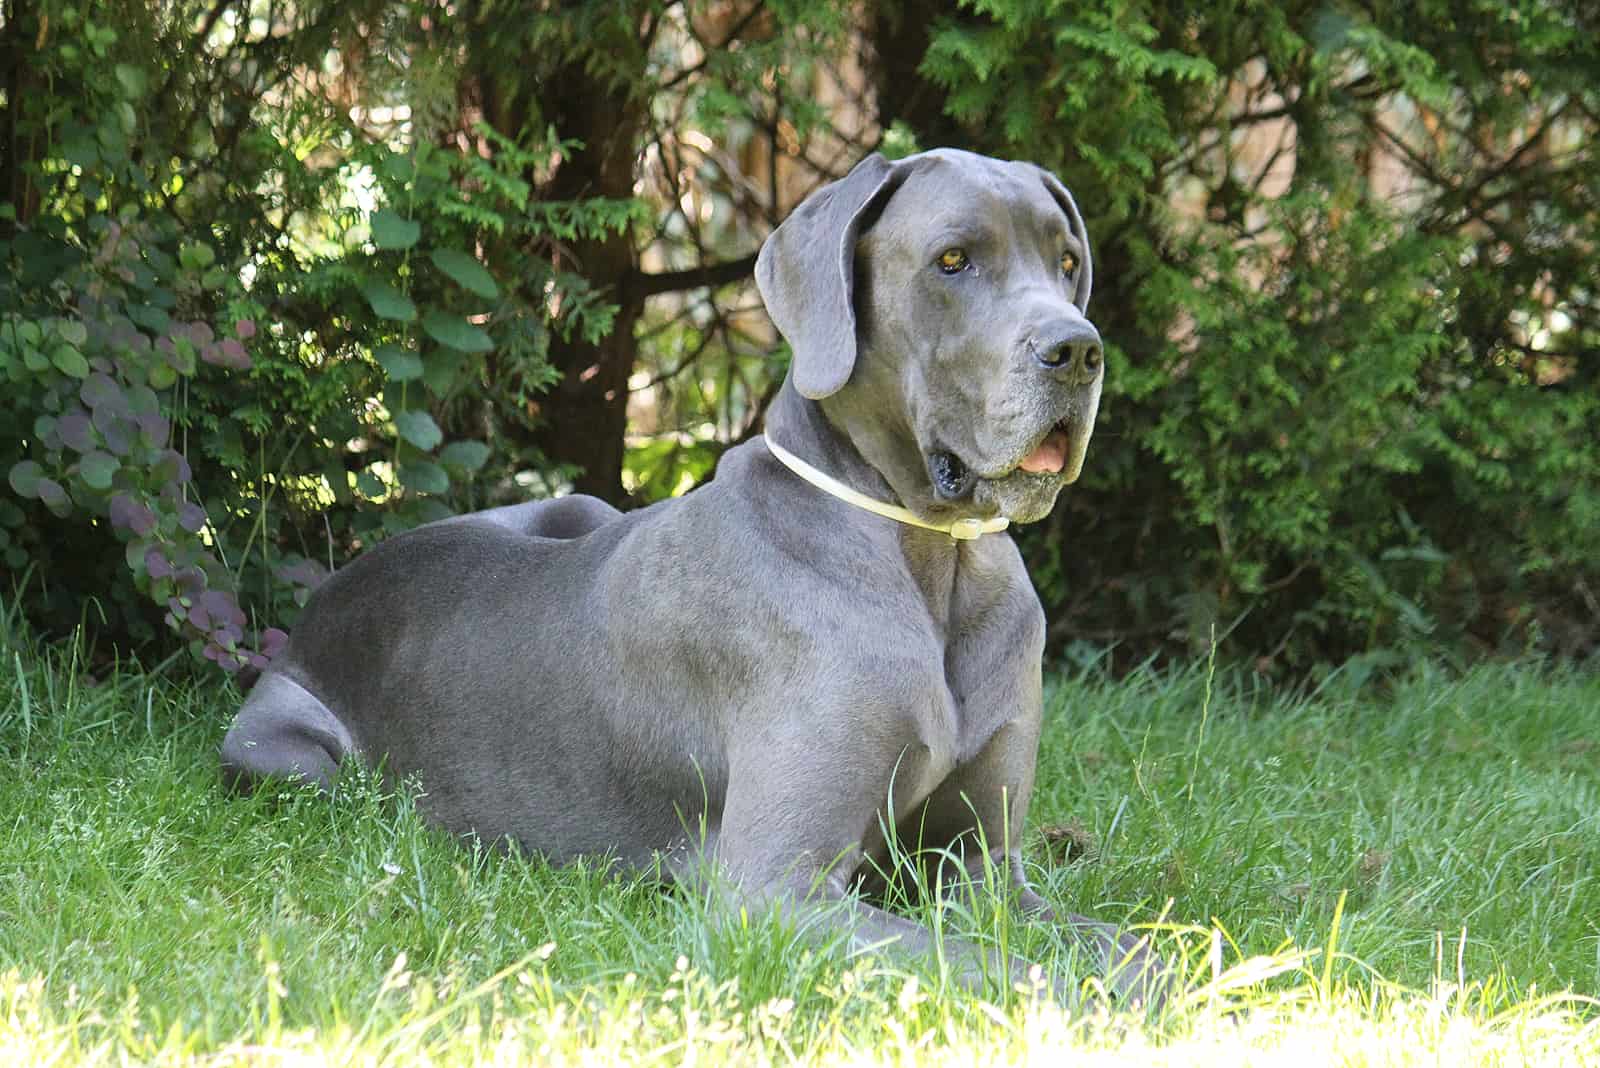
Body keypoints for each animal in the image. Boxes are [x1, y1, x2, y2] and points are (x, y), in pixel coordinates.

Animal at [222, 147, 1164, 1004]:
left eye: (1066, 262)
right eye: (954, 261)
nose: (1079, 351)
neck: (932, 558)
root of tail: (333, 592)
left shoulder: (980, 866)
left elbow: (1117, 943)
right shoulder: (776, 889)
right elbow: (995, 968)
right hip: (284, 759)